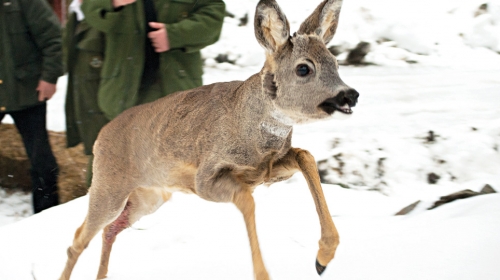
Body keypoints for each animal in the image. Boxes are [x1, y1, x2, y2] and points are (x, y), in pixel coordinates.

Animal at [59, 0, 360, 278]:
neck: (248, 128)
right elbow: (247, 200)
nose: (350, 95)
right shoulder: (205, 178)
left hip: (149, 196)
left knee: (110, 229)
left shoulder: (269, 171)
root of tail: (99, 137)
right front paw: (264, 273)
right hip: (109, 186)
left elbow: (305, 156)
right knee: (77, 239)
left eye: (336, 63)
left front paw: (323, 257)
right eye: (303, 69)